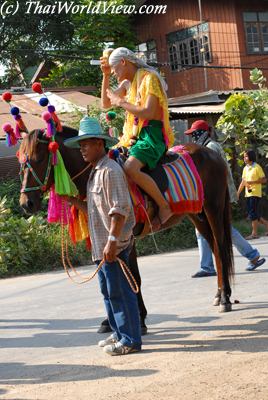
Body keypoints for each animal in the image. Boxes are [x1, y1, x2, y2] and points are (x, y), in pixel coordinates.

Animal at [18, 126, 233, 314]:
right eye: (22, 164)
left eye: (38, 159)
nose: (26, 203)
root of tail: (213, 154)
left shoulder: (125, 235)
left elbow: (132, 277)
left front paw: (140, 318)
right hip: (197, 215)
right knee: (214, 247)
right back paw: (220, 293)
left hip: (213, 209)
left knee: (221, 247)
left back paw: (225, 298)